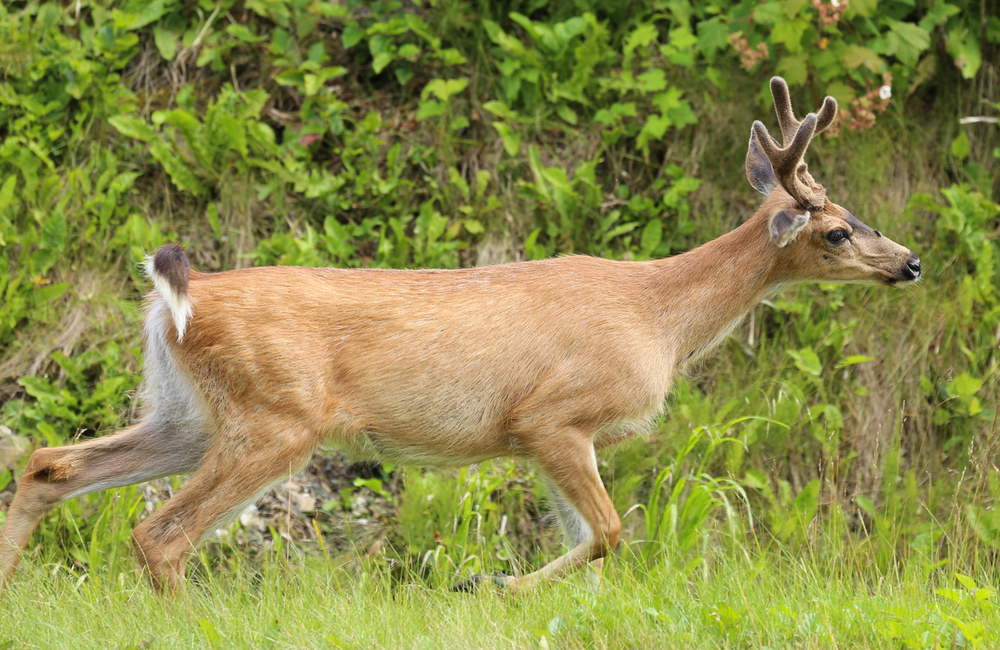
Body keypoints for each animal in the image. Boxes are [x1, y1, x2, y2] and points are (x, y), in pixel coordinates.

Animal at [0, 76, 920, 592]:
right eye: (837, 229)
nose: (910, 262)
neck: (657, 315)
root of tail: (170, 303)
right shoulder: (554, 416)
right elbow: (610, 534)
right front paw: (487, 585)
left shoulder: (547, 437)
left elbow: (596, 541)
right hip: (276, 416)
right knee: (159, 536)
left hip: (188, 413)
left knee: (50, 463)